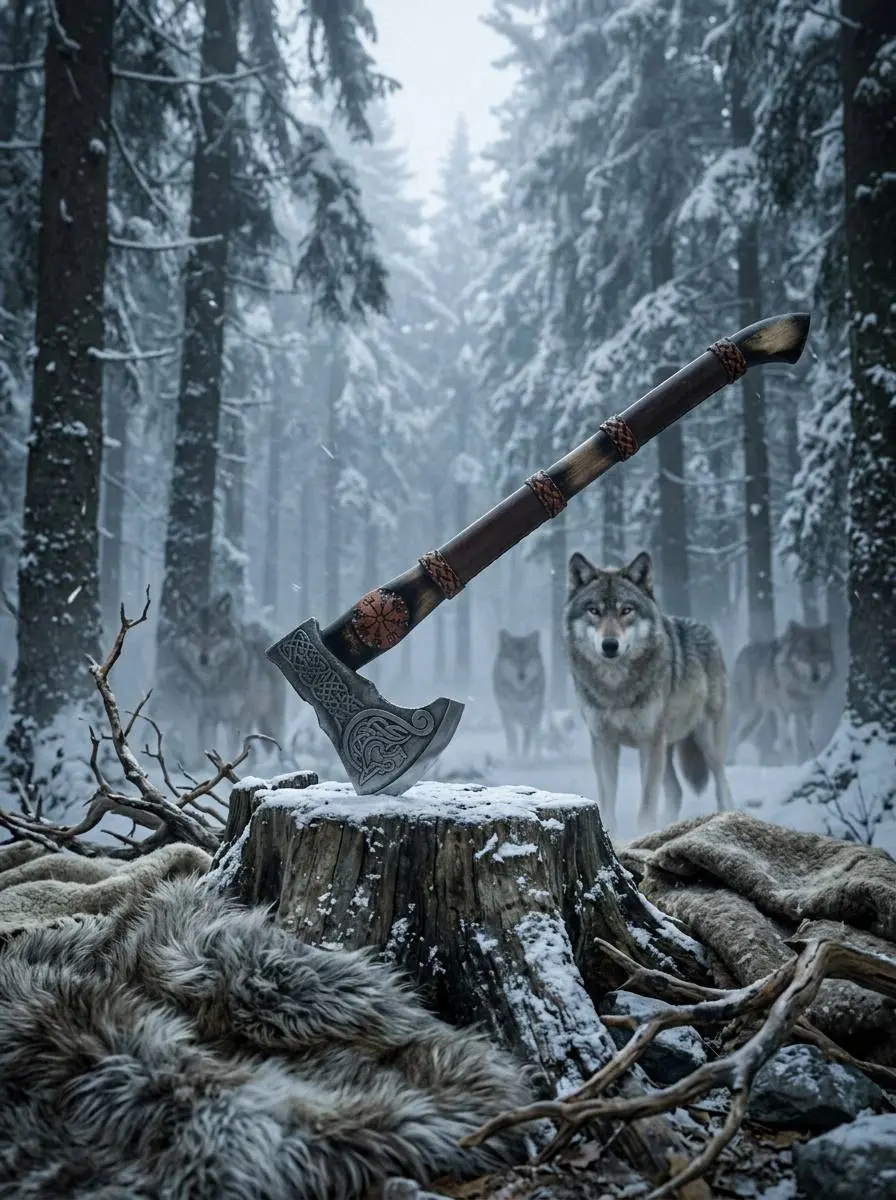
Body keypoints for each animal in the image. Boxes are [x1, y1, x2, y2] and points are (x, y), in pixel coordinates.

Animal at [492, 629, 546, 759]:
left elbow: (526, 742)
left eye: (527, 658)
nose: (521, 675)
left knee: (537, 737)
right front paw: (513, 758)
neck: (519, 693)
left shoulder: (531, 714)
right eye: (513, 658)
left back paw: (538, 757)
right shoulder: (507, 715)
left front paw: (524, 760)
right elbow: (512, 740)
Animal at [564, 550, 733, 836]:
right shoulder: (603, 743)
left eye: (626, 610)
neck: (616, 686)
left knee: (723, 784)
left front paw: (642, 834)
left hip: (704, 741)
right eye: (594, 611)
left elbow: (646, 803)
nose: (610, 645)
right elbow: (607, 800)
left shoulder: (649, 742)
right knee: (676, 791)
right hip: (667, 748)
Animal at [728, 620, 835, 765]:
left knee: (738, 736)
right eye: (804, 654)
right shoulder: (783, 711)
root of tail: (743, 650)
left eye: (820, 654)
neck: (800, 688)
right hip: (745, 709)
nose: (816, 676)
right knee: (729, 731)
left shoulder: (808, 713)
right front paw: (791, 765)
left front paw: (813, 760)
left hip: (756, 718)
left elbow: (809, 739)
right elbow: (788, 742)